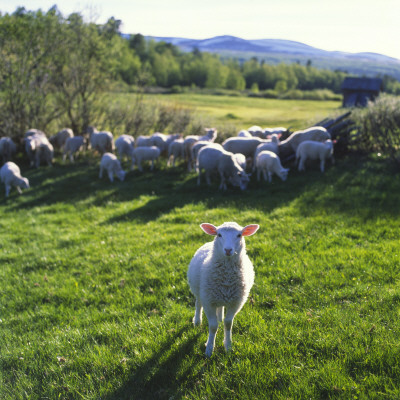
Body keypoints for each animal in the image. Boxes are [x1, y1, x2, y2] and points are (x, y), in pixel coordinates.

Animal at [188, 222, 260, 356]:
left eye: (239, 235)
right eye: (219, 234)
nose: (227, 250)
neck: (226, 279)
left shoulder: (236, 303)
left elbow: (228, 324)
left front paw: (228, 346)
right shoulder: (208, 302)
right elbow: (213, 326)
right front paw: (209, 348)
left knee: (220, 308)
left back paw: (220, 317)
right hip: (200, 291)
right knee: (198, 304)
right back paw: (197, 321)